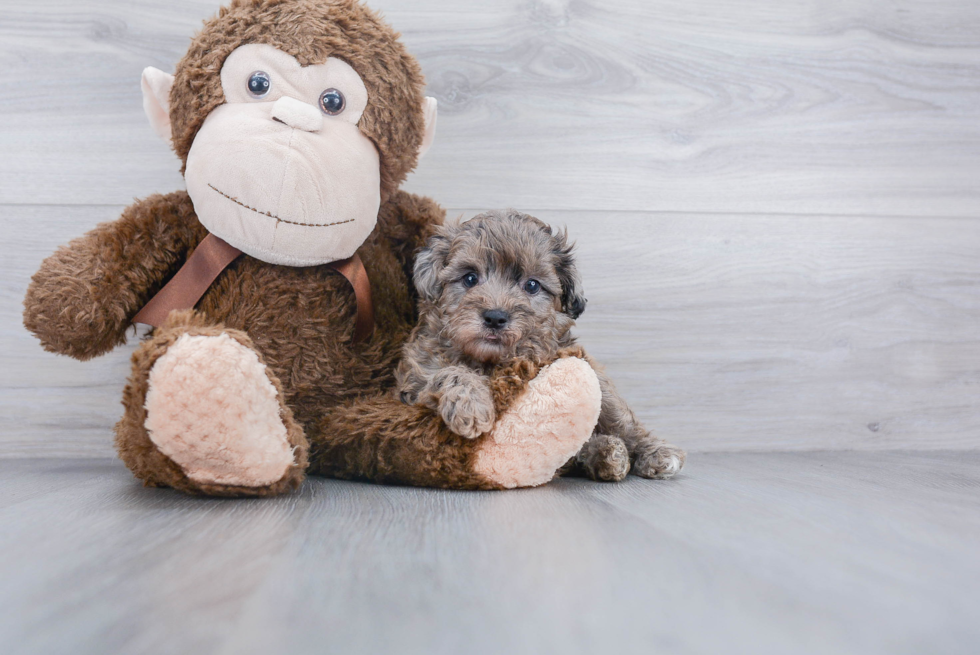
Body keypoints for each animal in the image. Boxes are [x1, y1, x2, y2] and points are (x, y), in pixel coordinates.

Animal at [394, 210, 684, 482]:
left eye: (532, 285)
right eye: (469, 278)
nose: (495, 317)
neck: (490, 360)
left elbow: (618, 418)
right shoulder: (417, 377)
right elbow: (450, 372)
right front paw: (471, 405)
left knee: (619, 421)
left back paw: (647, 453)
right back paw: (607, 454)